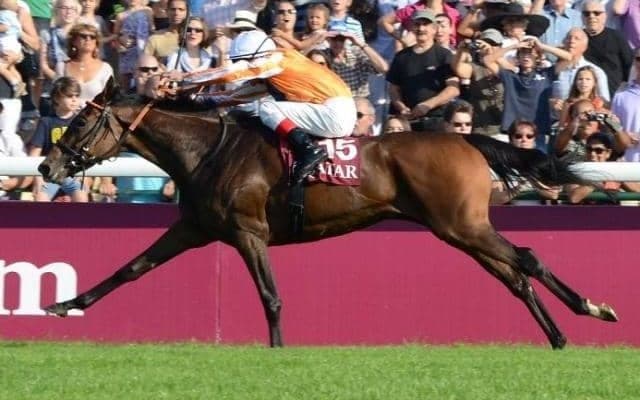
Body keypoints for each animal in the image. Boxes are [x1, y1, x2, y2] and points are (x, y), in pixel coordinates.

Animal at [38, 78, 617, 349]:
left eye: (83, 123)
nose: (47, 164)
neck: (208, 151)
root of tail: (467, 140)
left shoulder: (248, 232)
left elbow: (271, 296)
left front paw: (277, 351)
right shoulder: (194, 227)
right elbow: (129, 269)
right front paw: (65, 303)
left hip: (462, 224)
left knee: (528, 257)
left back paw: (592, 309)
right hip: (460, 230)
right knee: (515, 276)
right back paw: (558, 336)